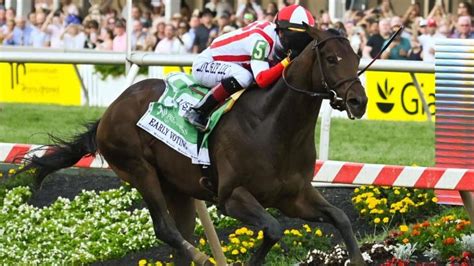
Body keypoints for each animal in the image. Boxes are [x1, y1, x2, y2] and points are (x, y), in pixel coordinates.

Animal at [19, 26, 366, 264]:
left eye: (357, 57)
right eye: (332, 58)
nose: (358, 101)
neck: (274, 126)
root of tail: (109, 111)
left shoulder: (294, 196)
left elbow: (341, 218)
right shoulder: (231, 197)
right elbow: (273, 228)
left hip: (177, 188)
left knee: (180, 235)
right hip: (139, 170)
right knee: (167, 230)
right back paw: (203, 258)